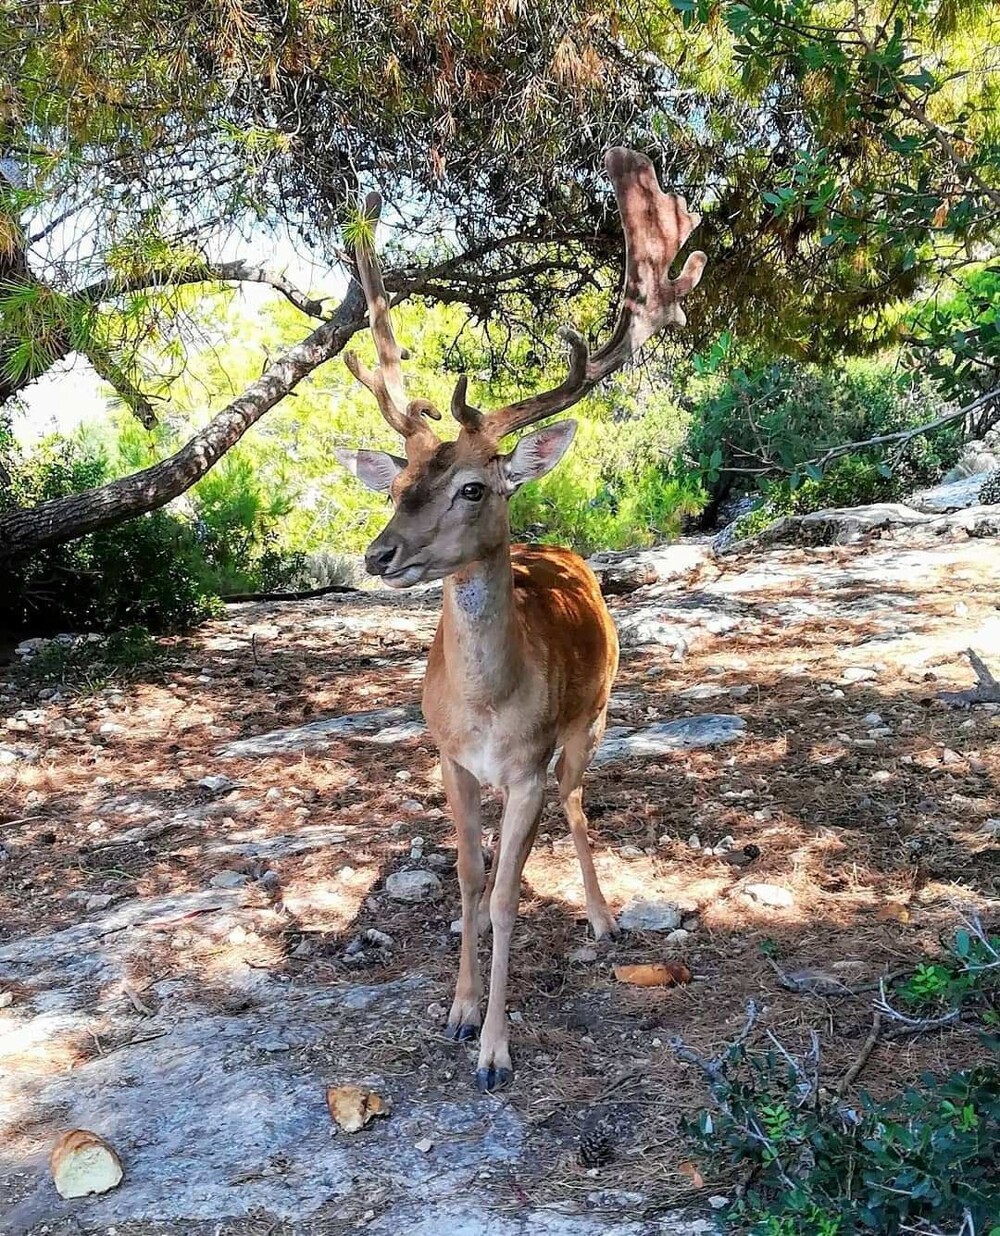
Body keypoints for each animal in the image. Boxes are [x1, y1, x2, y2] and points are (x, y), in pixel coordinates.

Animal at [336, 147, 702, 1092]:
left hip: (594, 716)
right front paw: (459, 1010)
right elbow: (471, 877)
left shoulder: (529, 763)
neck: (490, 708)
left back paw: (603, 917)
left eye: (474, 487)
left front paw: (497, 1051)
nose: (379, 554)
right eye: (397, 485)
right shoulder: (449, 756)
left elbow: (505, 893)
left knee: (578, 802)